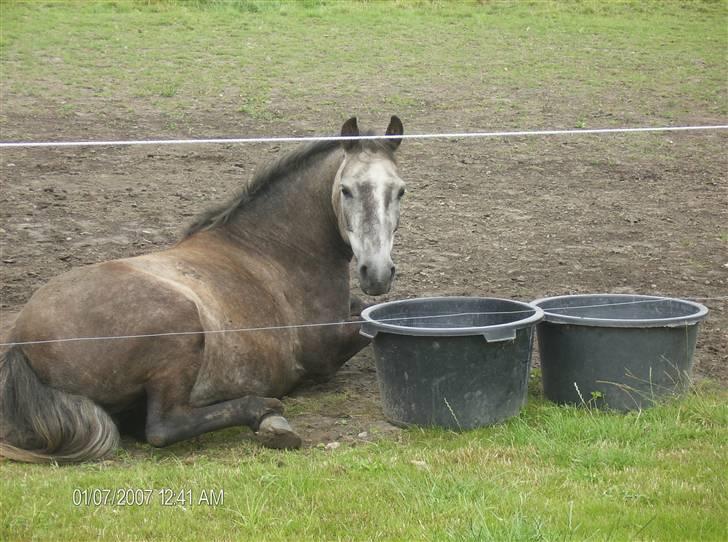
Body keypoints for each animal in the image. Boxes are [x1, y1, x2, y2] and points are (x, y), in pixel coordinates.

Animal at [0, 115, 406, 464]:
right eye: (346, 190)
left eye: (400, 191)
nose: (376, 272)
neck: (274, 249)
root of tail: (21, 342)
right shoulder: (324, 351)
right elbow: (368, 326)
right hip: (179, 329)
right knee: (163, 427)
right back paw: (266, 414)